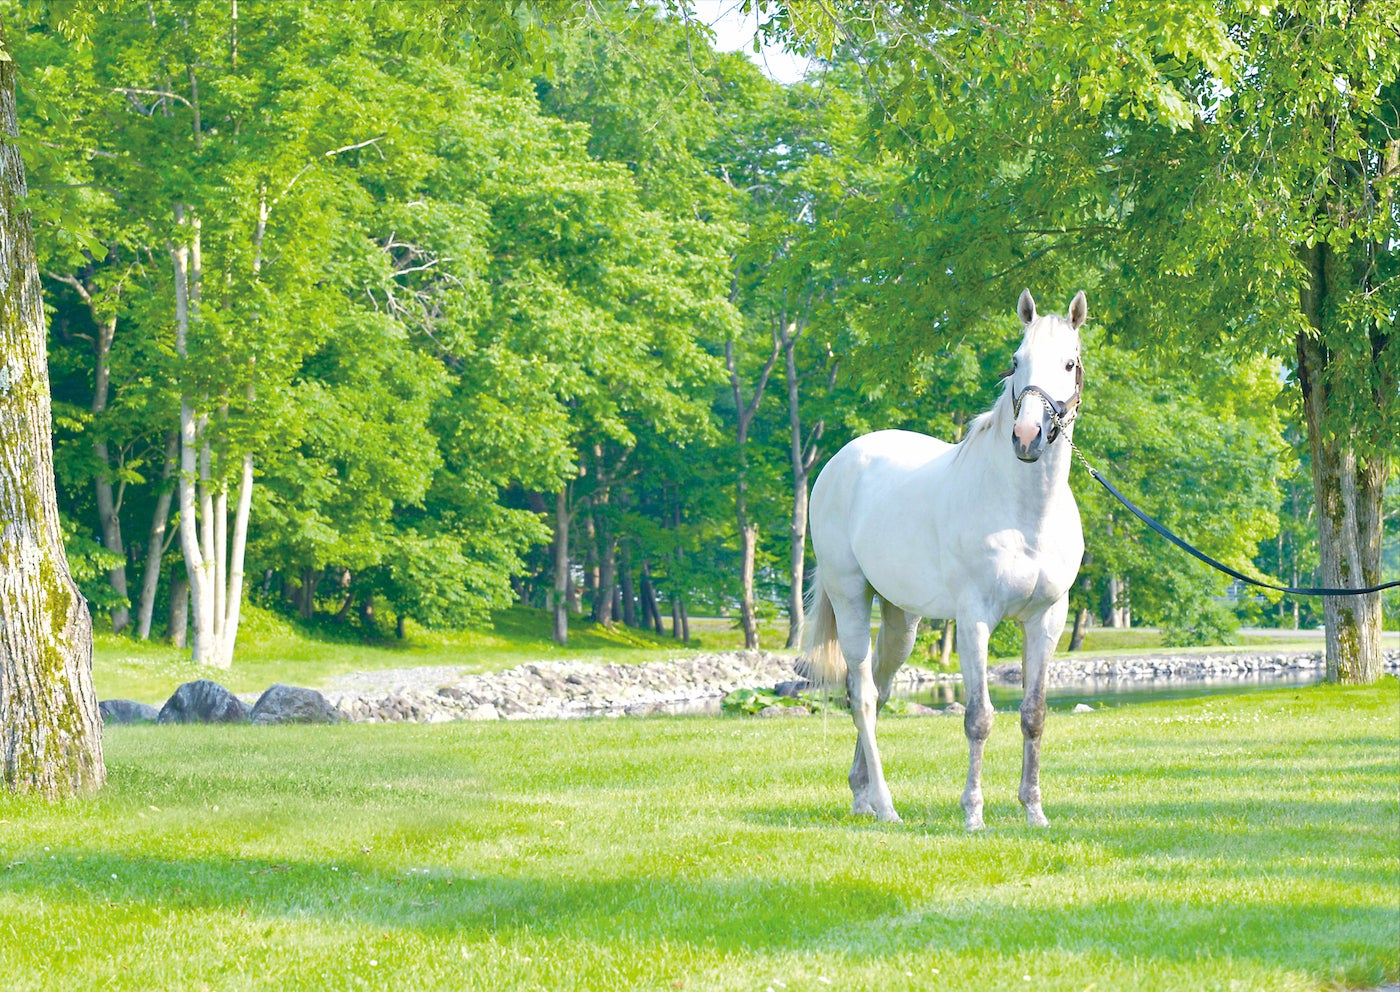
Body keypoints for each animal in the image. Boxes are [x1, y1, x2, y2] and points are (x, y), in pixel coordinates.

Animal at [802, 288, 1086, 830]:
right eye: (1016, 360)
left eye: (1069, 363)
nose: (1026, 437)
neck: (1025, 514)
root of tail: (840, 461)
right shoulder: (974, 620)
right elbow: (978, 718)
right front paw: (973, 814)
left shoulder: (1047, 619)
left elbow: (1033, 715)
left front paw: (1034, 811)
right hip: (850, 598)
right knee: (863, 696)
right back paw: (886, 806)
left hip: (901, 620)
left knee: (882, 690)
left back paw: (861, 796)